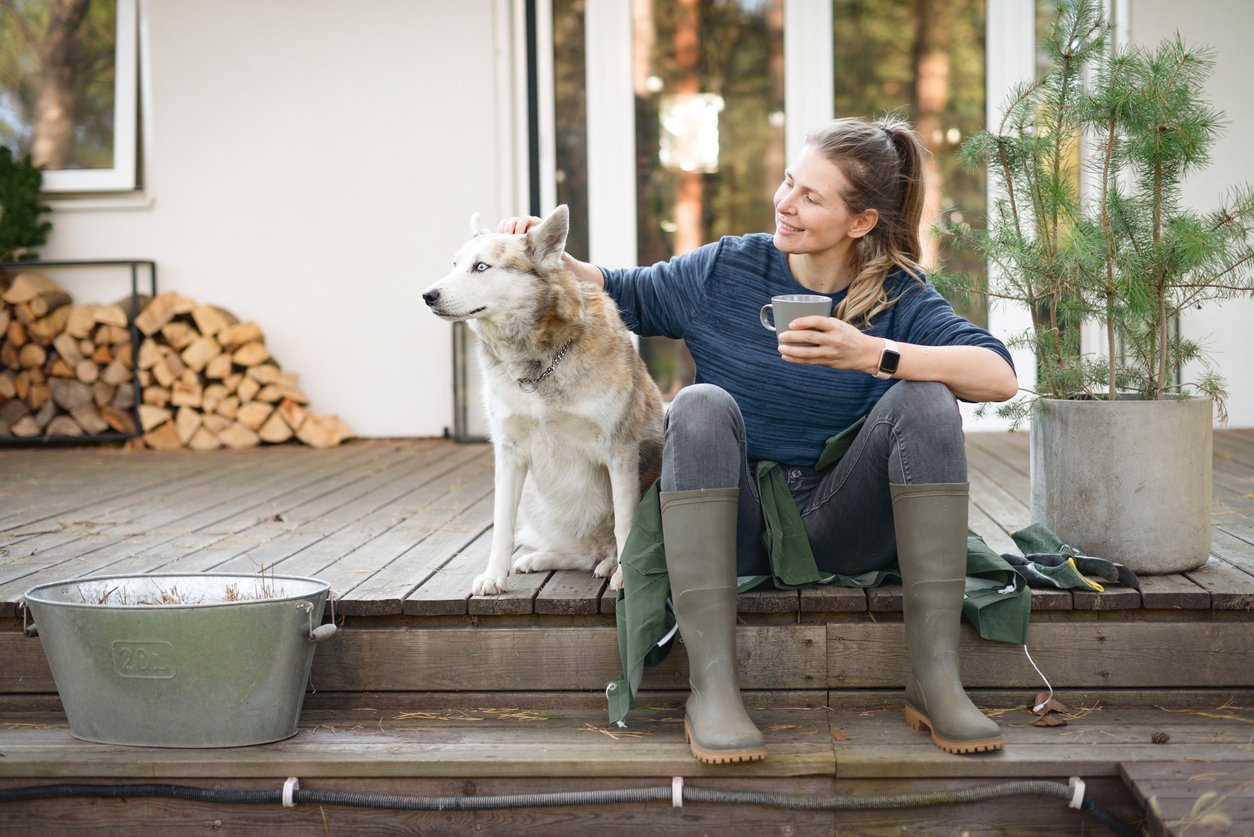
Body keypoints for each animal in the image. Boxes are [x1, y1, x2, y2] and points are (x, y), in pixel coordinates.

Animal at [423, 204, 667, 594]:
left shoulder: (619, 452)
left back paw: (609, 565)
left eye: (481, 267)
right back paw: (542, 558)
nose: (428, 295)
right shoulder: (508, 455)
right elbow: (501, 526)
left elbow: (625, 524)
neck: (539, 365)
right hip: (536, 500)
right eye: (454, 264)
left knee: (607, 546)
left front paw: (624, 576)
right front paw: (494, 576)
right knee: (581, 553)